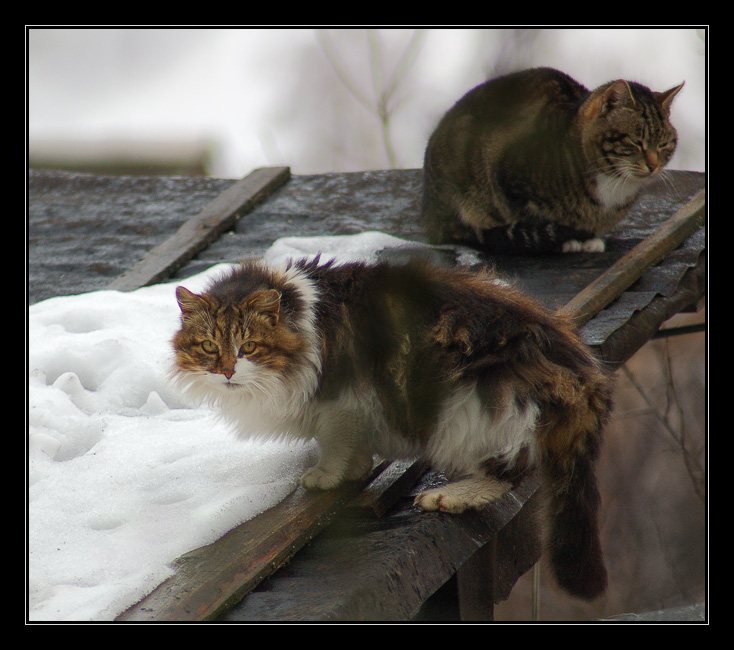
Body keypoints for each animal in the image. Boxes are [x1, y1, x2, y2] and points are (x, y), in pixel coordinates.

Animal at [172, 256, 616, 600]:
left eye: (248, 347)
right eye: (210, 347)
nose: (227, 371)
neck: (301, 317)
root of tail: (581, 368)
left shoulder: (343, 400)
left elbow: (334, 442)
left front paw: (326, 476)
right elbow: (351, 446)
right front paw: (355, 469)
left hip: (468, 410)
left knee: (510, 473)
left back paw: (449, 496)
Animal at [422, 66, 688, 253]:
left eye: (663, 144)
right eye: (636, 142)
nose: (653, 166)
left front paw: (590, 240)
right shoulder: (507, 177)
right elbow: (532, 218)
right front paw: (566, 240)